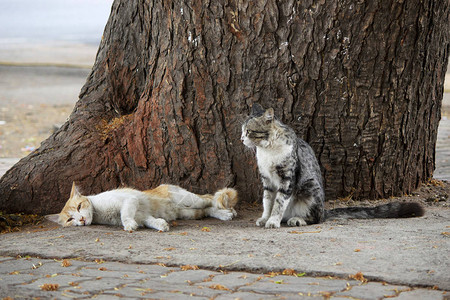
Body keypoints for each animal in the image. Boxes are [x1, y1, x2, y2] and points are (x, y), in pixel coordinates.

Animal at [241, 104, 424, 229]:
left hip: (311, 187)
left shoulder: (287, 179)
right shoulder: (267, 180)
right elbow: (267, 201)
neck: (267, 150)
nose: (241, 139)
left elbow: (279, 203)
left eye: (248, 131)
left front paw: (273, 221)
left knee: (316, 219)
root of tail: (325, 211)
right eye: (242, 130)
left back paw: (298, 219)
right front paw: (265, 218)